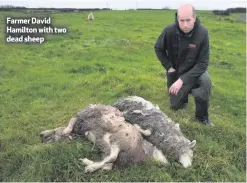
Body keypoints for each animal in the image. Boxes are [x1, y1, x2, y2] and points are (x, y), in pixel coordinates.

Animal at [39, 103, 169, 172]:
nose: (42, 139)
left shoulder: (82, 115)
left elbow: (69, 123)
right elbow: (65, 126)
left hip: (115, 141)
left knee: (111, 158)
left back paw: (89, 166)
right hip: (112, 143)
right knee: (109, 163)